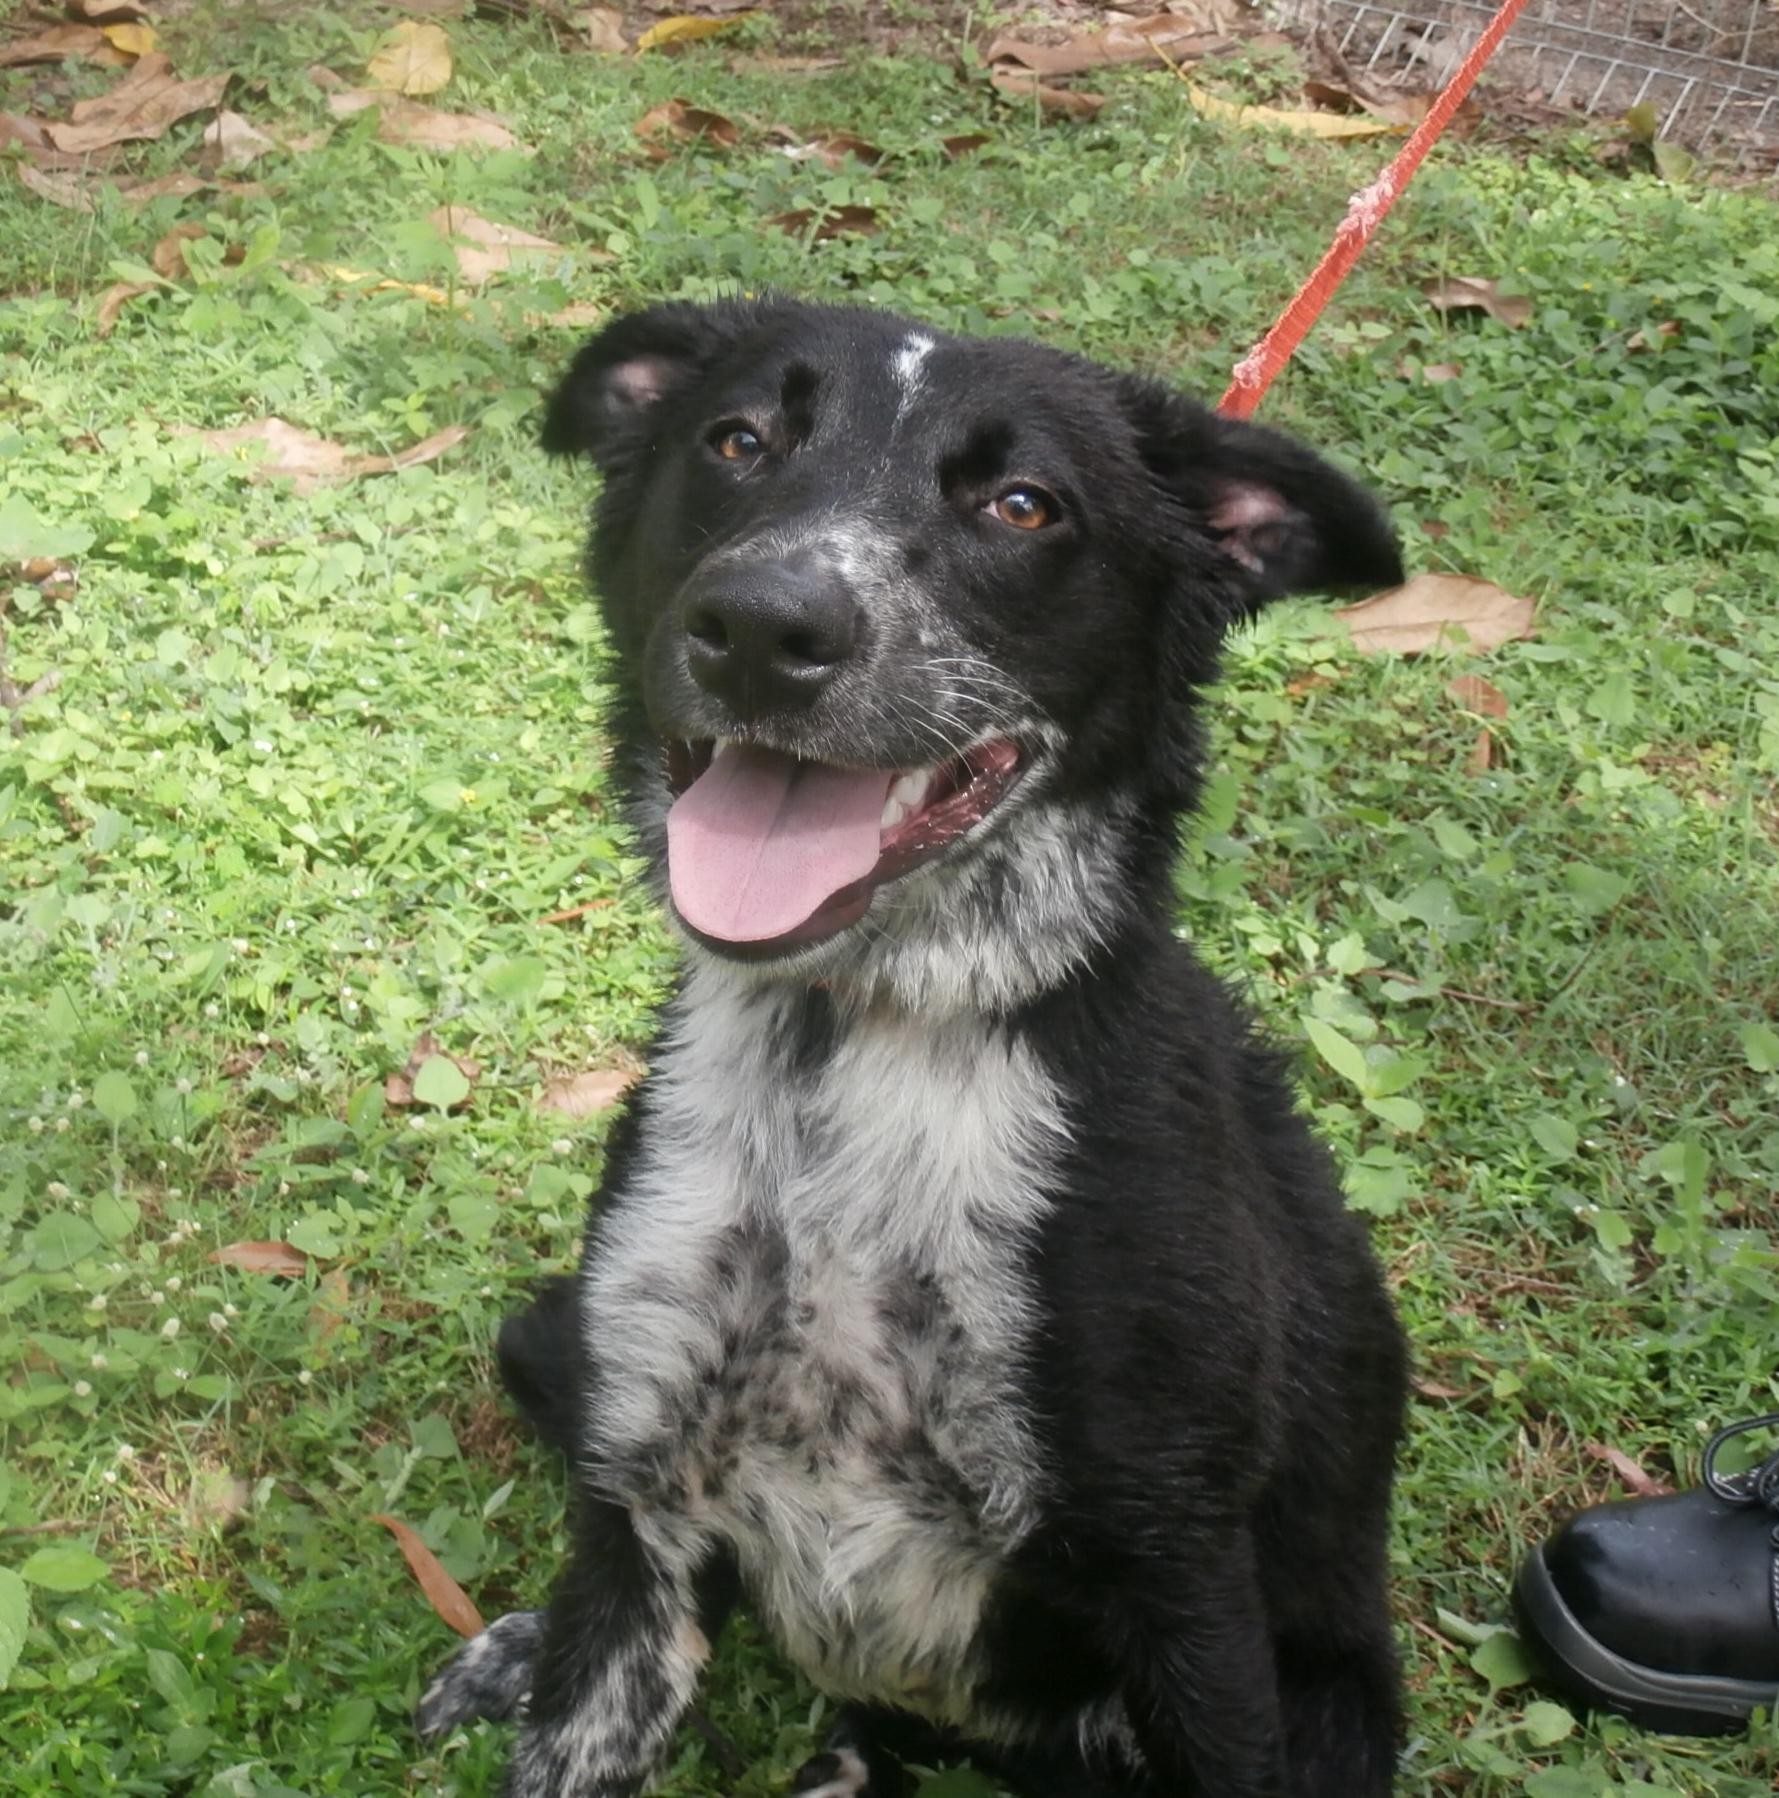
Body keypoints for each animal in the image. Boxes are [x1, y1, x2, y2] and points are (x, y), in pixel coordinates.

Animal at [417, 298, 1409, 1798]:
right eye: (736, 439)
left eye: (1022, 504)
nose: (762, 627)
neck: (851, 1046)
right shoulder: (641, 1483)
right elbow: (588, 1684)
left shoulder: (1182, 1575)